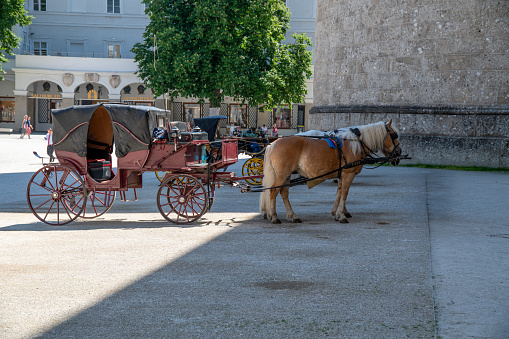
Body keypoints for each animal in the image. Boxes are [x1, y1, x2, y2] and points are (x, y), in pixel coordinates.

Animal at [262, 121, 400, 224]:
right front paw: (342, 215)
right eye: (394, 135)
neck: (356, 144)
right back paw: (274, 216)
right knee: (273, 191)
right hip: (282, 175)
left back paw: (292, 216)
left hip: (286, 175)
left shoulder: (341, 175)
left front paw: (336, 213)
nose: (399, 153)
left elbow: (339, 193)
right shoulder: (348, 174)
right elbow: (344, 194)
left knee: (284, 193)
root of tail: (273, 143)